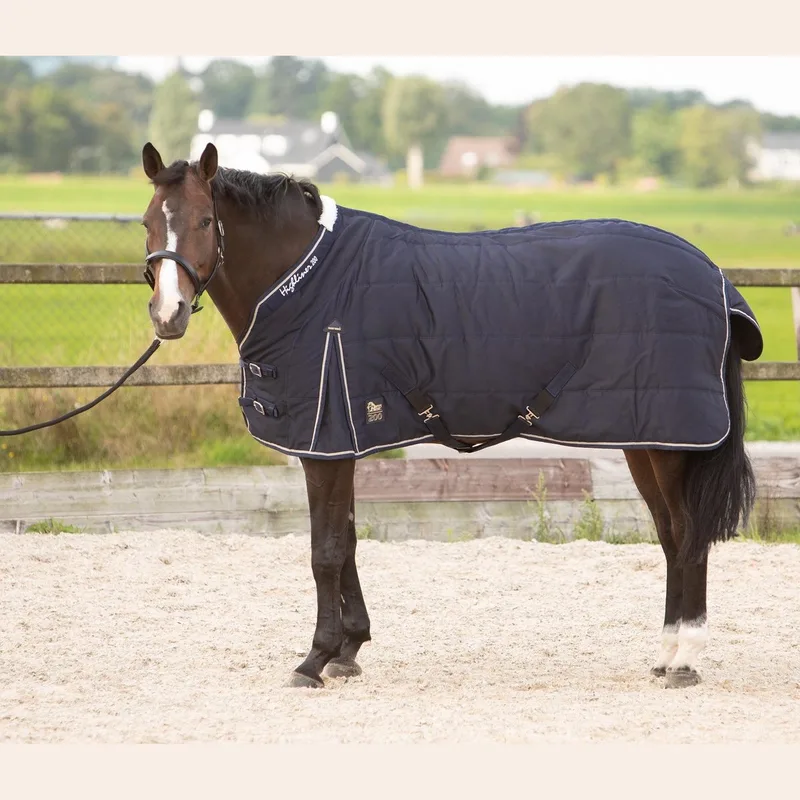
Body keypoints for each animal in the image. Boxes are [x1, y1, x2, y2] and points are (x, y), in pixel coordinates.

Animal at [139, 141, 763, 690]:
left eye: (203, 221)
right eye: (147, 222)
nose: (168, 315)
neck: (311, 284)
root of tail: (714, 277)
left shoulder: (326, 445)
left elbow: (326, 552)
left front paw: (315, 659)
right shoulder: (343, 443)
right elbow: (350, 542)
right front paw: (349, 649)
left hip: (671, 443)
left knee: (688, 537)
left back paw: (685, 661)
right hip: (645, 439)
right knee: (672, 536)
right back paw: (666, 656)